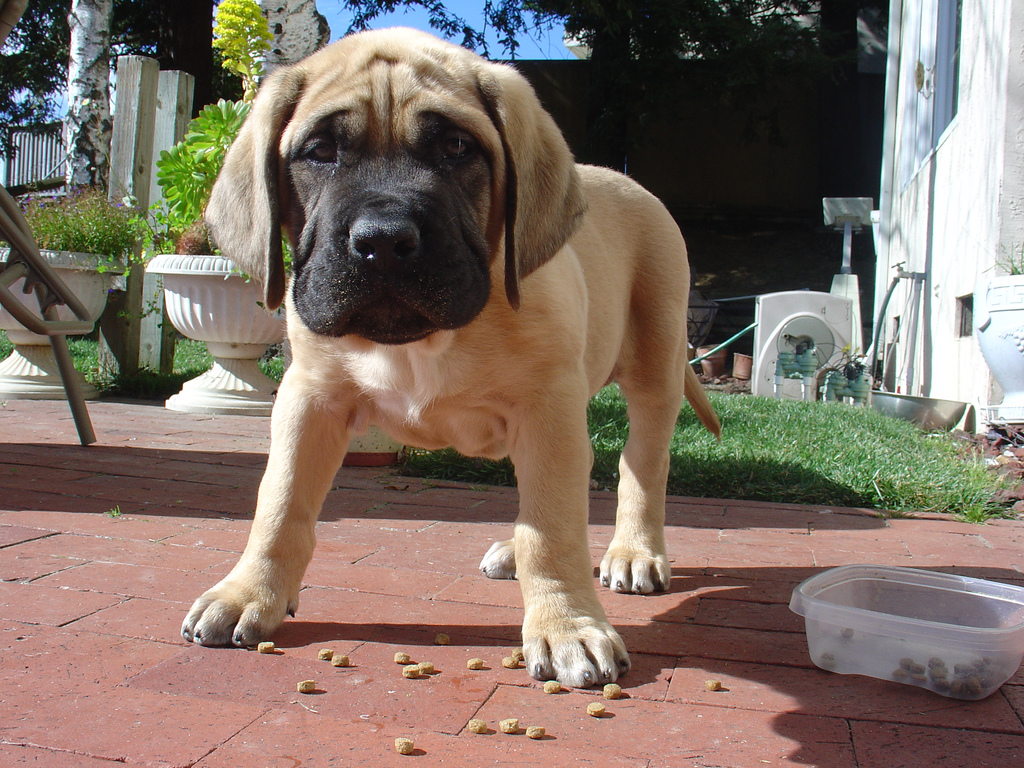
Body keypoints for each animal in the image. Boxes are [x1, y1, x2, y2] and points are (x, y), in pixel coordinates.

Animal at [182, 27, 720, 688]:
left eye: (457, 148)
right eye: (320, 151)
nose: (383, 240)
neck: (423, 341)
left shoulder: (548, 411)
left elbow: (553, 528)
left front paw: (566, 625)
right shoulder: (310, 400)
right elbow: (279, 504)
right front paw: (246, 593)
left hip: (653, 364)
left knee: (639, 464)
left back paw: (635, 552)